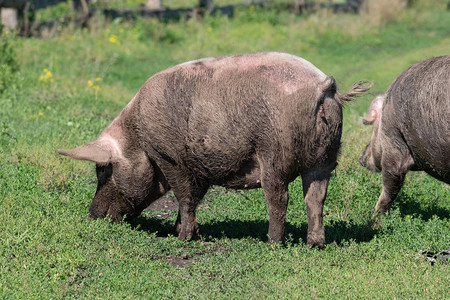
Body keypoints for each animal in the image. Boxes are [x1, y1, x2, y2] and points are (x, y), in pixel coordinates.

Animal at [58, 52, 370, 248]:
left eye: (103, 170)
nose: (91, 215)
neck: (138, 137)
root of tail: (324, 85)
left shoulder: (169, 156)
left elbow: (184, 196)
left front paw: (181, 239)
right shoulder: (201, 166)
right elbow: (194, 199)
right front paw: (181, 231)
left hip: (274, 152)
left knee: (279, 199)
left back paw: (272, 243)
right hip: (325, 158)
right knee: (315, 199)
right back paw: (314, 244)